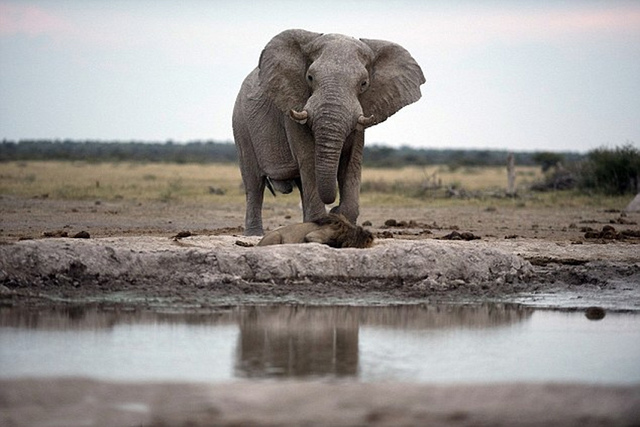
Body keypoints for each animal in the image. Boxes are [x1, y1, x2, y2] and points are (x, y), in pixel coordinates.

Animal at [232, 29, 422, 237]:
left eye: (364, 83)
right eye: (309, 77)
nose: (334, 208)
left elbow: (351, 162)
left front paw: (340, 217)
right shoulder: (293, 106)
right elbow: (308, 158)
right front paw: (325, 220)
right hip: (241, 125)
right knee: (254, 183)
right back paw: (255, 234)